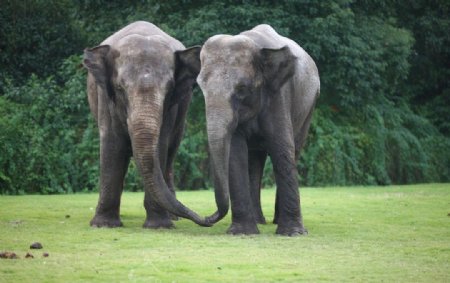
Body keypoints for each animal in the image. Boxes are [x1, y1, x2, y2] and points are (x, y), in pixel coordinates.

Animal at [82, 20, 209, 229]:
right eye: (119, 88)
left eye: (170, 89)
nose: (207, 218)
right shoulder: (105, 98)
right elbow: (112, 144)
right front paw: (103, 225)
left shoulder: (172, 107)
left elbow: (161, 146)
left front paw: (159, 226)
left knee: (170, 154)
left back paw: (172, 217)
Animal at [197, 25, 320, 237]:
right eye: (200, 87)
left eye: (242, 88)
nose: (207, 218)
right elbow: (236, 153)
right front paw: (242, 233)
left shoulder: (279, 94)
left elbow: (281, 148)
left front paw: (293, 233)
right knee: (255, 160)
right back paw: (259, 221)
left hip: (309, 106)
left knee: (294, 150)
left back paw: (276, 221)